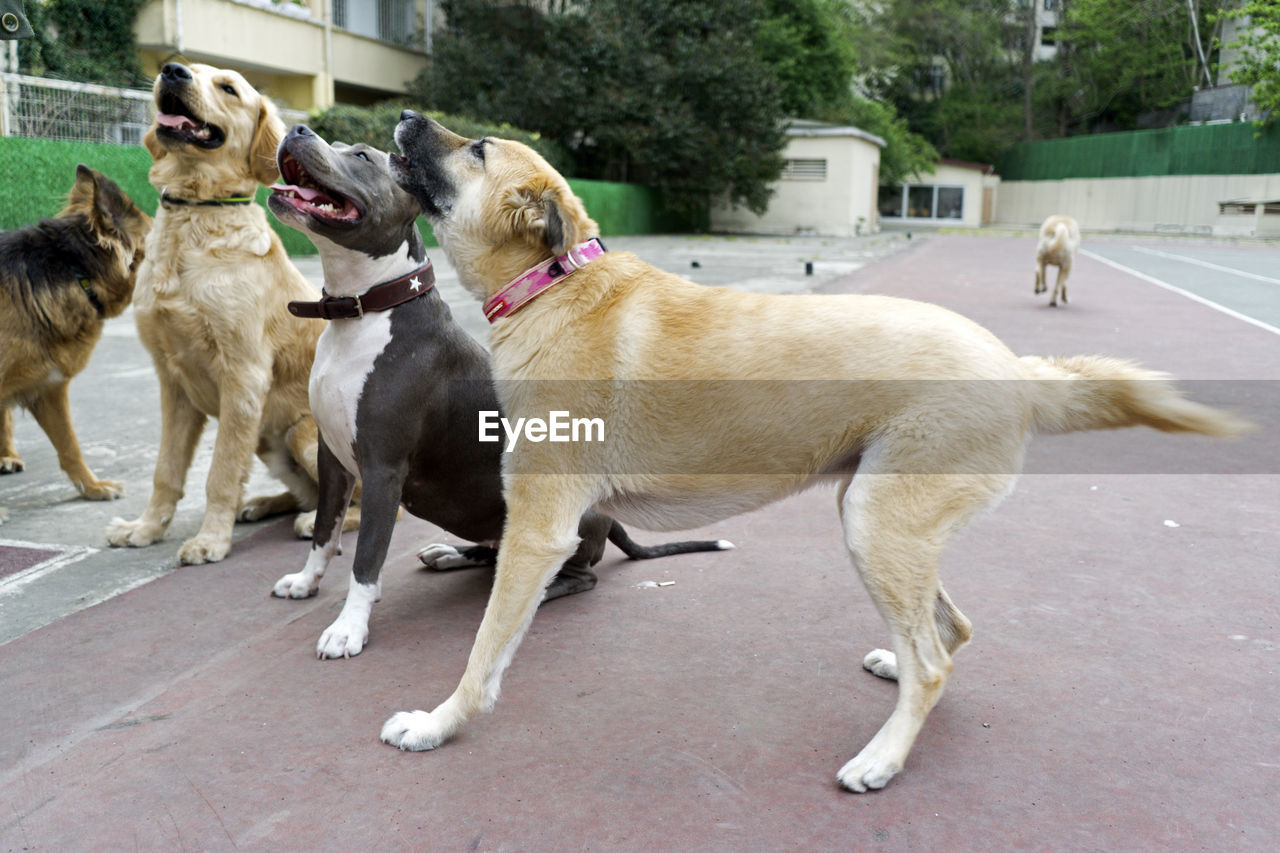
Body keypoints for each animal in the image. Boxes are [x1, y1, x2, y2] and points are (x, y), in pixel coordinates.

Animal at [105, 63, 353, 560]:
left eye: (228, 88)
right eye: (181, 67)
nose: (172, 71)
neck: (196, 215)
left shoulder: (243, 374)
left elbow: (220, 472)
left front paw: (209, 540)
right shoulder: (172, 381)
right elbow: (166, 471)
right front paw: (145, 528)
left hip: (301, 433)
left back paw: (311, 523)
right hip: (269, 443)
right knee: (305, 492)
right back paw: (262, 504)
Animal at [267, 124, 732, 655]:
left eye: (362, 156)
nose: (298, 129)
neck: (364, 312)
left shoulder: (382, 468)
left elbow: (366, 558)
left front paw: (349, 627)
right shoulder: (332, 457)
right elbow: (324, 532)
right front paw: (306, 582)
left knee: (578, 574)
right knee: (493, 552)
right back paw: (451, 554)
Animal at [384, 112, 1254, 788]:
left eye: (477, 147)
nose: (403, 117)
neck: (555, 285)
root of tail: (1015, 367)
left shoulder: (538, 531)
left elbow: (483, 651)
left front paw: (438, 722)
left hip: (876, 523)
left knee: (936, 658)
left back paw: (884, 758)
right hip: (878, 516)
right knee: (950, 630)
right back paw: (896, 672)